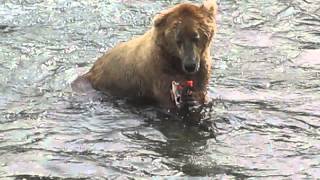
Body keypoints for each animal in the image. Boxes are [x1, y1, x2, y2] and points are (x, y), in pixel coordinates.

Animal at [75, 0, 218, 108]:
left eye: (196, 37)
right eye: (178, 40)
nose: (190, 65)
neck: (176, 61)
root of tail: (93, 66)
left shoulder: (202, 66)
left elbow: (201, 90)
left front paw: (194, 99)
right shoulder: (160, 70)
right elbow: (167, 97)